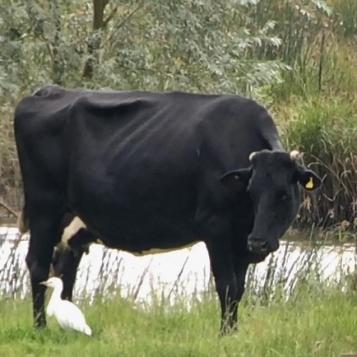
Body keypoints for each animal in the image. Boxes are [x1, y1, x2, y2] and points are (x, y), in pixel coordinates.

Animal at [14, 85, 320, 332]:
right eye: (252, 191)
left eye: (284, 195)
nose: (258, 242)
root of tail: (47, 91)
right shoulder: (216, 226)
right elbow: (226, 284)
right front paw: (224, 334)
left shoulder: (240, 237)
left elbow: (239, 288)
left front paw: (234, 332)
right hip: (44, 207)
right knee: (38, 265)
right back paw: (40, 327)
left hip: (72, 224)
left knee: (65, 270)